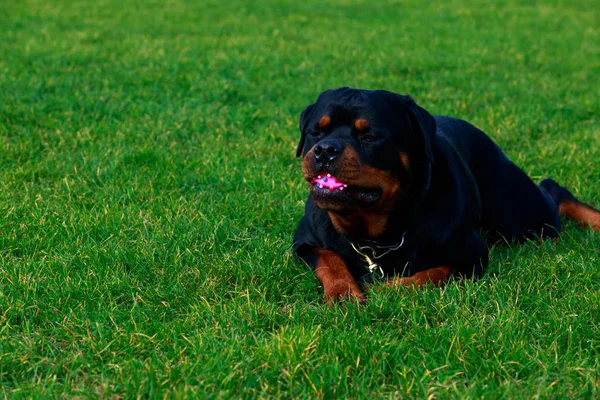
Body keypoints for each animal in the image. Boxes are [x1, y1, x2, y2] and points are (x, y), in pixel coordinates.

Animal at [296, 86, 600, 302]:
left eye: (370, 136)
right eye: (315, 132)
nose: (325, 150)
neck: (377, 235)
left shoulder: (472, 254)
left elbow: (434, 271)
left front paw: (388, 289)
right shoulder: (303, 241)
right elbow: (329, 259)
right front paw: (343, 293)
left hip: (523, 219)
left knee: (552, 192)